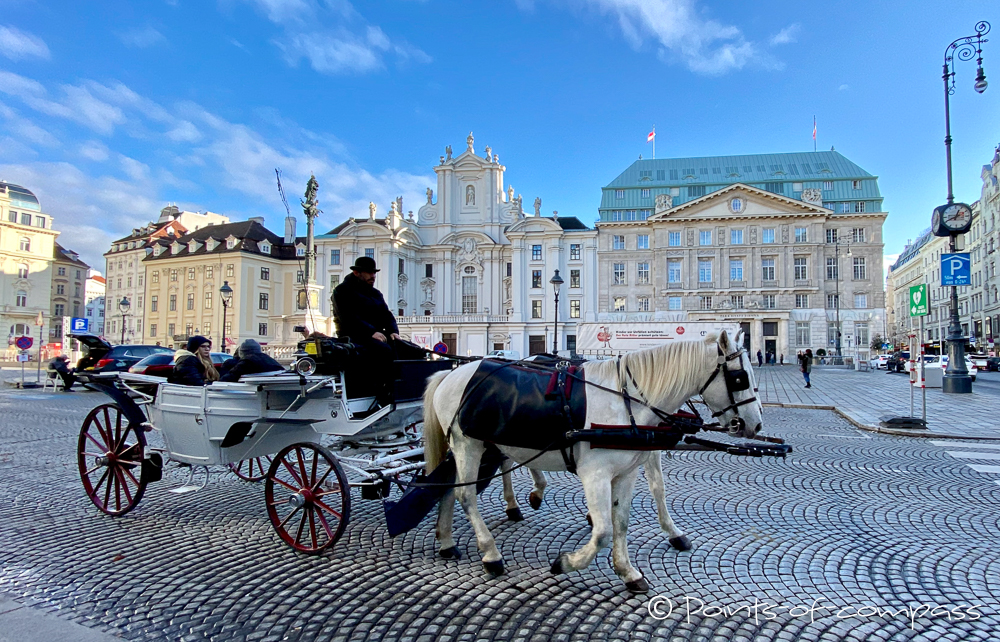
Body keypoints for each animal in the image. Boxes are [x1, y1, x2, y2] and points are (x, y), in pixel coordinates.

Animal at [424, 330, 764, 592]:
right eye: (739, 378)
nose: (756, 425)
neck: (626, 402)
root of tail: (450, 373)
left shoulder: (627, 472)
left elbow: (622, 521)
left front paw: (628, 571)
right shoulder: (595, 474)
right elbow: (602, 532)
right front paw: (565, 563)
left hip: (478, 445)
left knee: (448, 488)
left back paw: (448, 541)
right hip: (468, 445)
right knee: (466, 494)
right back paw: (492, 554)